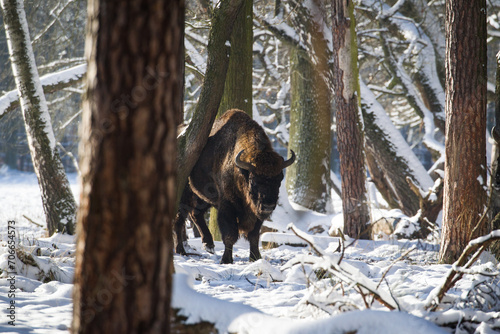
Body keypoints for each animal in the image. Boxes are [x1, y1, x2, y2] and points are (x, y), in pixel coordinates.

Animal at [174, 109, 294, 264]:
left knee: (196, 214)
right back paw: (181, 250)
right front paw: (226, 260)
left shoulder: (255, 213)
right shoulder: (227, 206)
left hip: (202, 197)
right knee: (179, 218)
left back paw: (209, 245)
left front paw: (255, 258)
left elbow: (254, 236)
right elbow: (230, 235)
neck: (241, 171)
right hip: (184, 193)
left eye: (279, 179)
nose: (268, 206)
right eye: (253, 180)